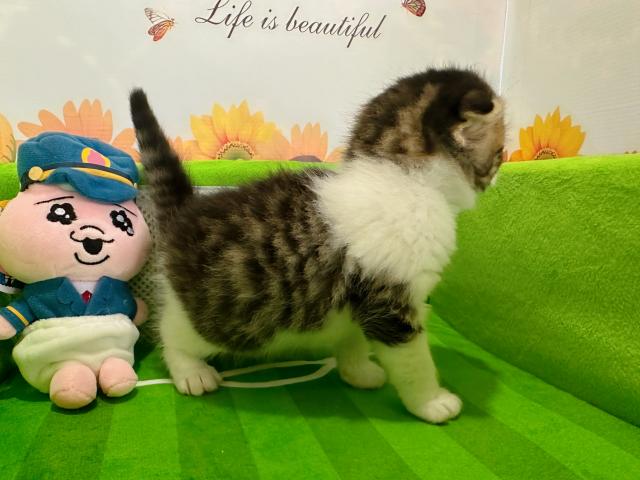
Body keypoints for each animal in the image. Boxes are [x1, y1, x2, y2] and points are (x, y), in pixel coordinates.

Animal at [129, 67, 505, 423]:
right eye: (500, 152)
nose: (501, 171)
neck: (402, 177)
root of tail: (185, 211)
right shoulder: (391, 303)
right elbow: (414, 361)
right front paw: (431, 402)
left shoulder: (358, 301)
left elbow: (353, 338)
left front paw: (358, 371)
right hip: (211, 317)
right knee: (170, 331)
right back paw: (190, 370)